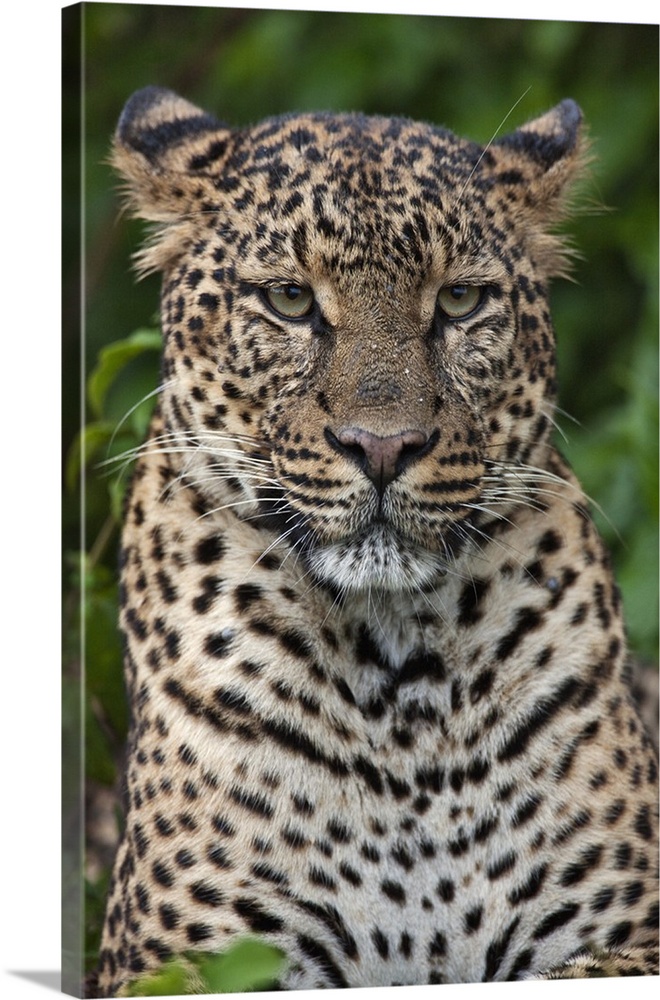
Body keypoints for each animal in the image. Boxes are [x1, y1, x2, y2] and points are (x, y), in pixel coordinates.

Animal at [94, 86, 660, 992]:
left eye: (460, 302)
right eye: (290, 300)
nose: (384, 446)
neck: (402, 695)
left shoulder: (623, 935)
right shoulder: (183, 962)